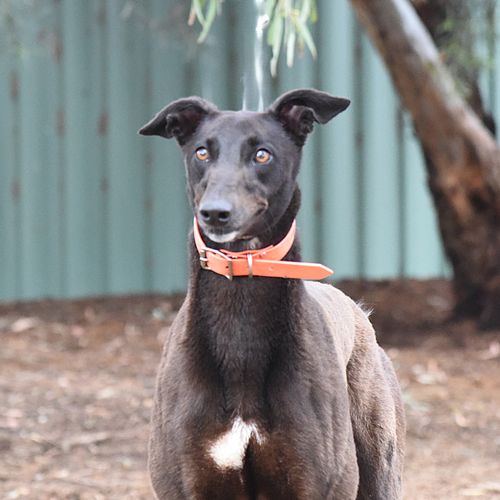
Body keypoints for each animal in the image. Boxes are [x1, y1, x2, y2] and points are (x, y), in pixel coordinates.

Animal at [139, 89, 405, 499]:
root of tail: (360, 313)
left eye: (262, 154)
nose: (215, 213)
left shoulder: (317, 483)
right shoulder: (186, 484)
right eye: (201, 152)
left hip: (379, 468)